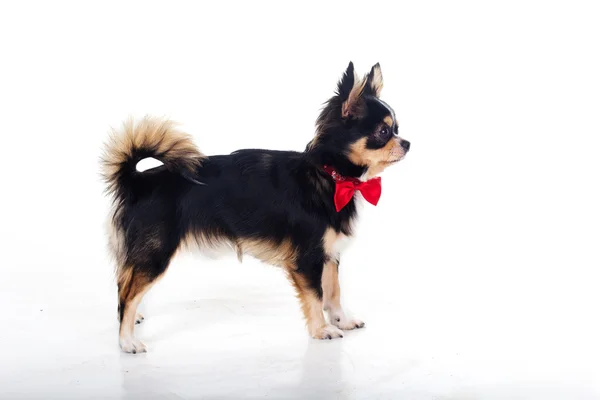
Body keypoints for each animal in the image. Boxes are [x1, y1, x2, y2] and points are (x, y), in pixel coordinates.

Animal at [102, 62, 412, 354]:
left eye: (397, 129)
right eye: (383, 131)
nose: (408, 143)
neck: (330, 177)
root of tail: (137, 180)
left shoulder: (329, 255)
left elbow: (333, 291)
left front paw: (342, 321)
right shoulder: (308, 258)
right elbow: (316, 296)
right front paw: (321, 330)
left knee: (122, 282)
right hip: (155, 253)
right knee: (128, 294)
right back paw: (127, 341)